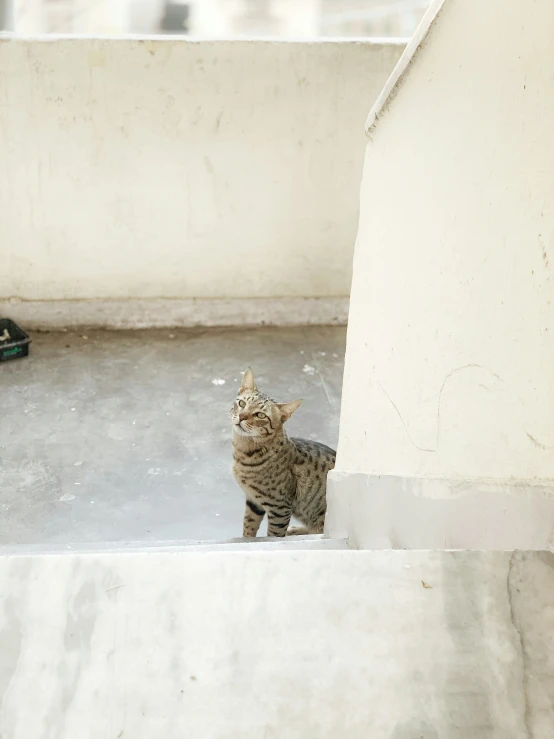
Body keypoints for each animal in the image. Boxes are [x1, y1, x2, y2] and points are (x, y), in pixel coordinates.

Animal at [230, 368, 334, 536]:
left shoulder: (280, 507)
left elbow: (274, 535)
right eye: (242, 403)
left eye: (260, 415)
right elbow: (249, 526)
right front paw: (246, 538)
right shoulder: (253, 501)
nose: (242, 416)